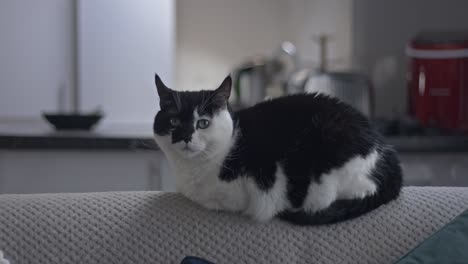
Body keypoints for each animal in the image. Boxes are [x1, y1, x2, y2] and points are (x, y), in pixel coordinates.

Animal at [154, 73, 402, 225]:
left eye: (203, 123)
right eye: (174, 122)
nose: (186, 137)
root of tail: (386, 150)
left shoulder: (247, 190)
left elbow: (218, 200)